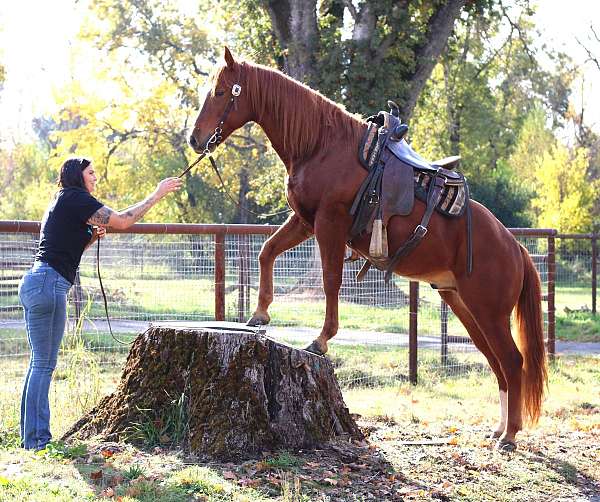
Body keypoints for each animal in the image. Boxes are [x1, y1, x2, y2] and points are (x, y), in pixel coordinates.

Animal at [190, 48, 548, 452]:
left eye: (221, 92)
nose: (195, 139)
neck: (320, 145)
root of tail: (515, 247)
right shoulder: (304, 221)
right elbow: (267, 251)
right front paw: (260, 314)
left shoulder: (329, 224)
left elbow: (330, 280)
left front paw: (321, 340)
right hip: (465, 307)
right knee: (497, 363)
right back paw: (499, 429)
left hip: (489, 312)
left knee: (512, 362)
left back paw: (510, 435)